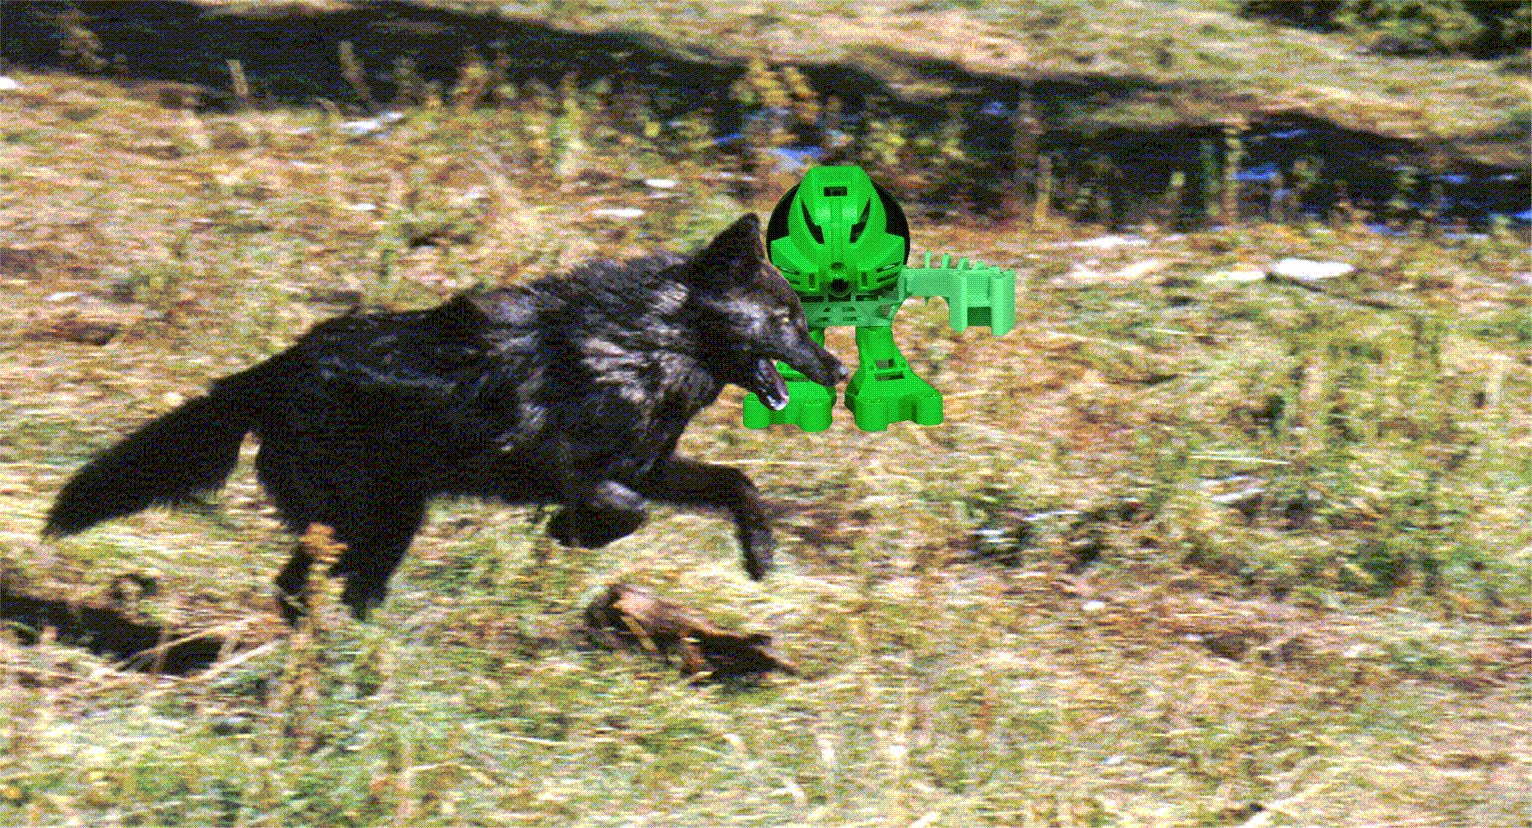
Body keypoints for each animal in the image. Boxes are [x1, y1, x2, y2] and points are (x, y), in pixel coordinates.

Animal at [43, 214, 844, 623]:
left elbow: (736, 483)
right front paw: (572, 532)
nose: (839, 372)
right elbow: (626, 509)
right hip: (377, 519)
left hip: (382, 524)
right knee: (310, 587)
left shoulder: (651, 465)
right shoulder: (561, 466)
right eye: (789, 320)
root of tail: (273, 370)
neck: (644, 343)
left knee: (314, 587)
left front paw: (761, 556)